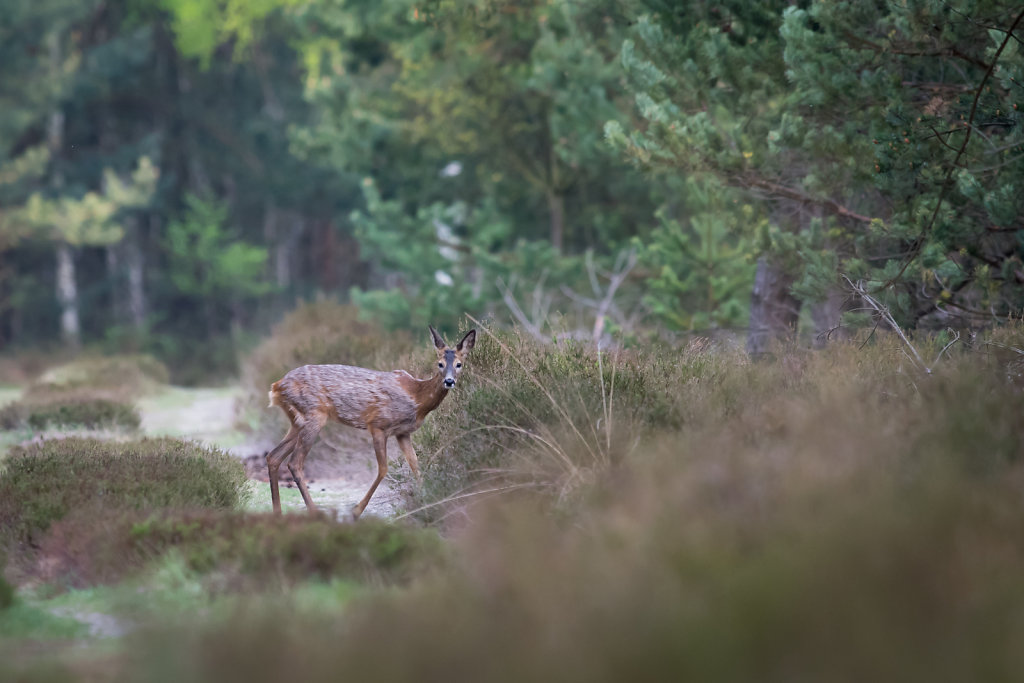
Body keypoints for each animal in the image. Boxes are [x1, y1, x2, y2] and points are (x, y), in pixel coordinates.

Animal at [265, 325, 475, 519]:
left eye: (459, 364)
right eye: (439, 363)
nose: (449, 381)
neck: (417, 398)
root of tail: (276, 387)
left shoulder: (403, 432)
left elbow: (415, 465)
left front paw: (428, 503)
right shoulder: (378, 424)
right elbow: (383, 469)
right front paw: (356, 511)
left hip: (298, 421)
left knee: (274, 456)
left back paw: (277, 513)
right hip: (313, 415)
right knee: (294, 463)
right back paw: (314, 512)